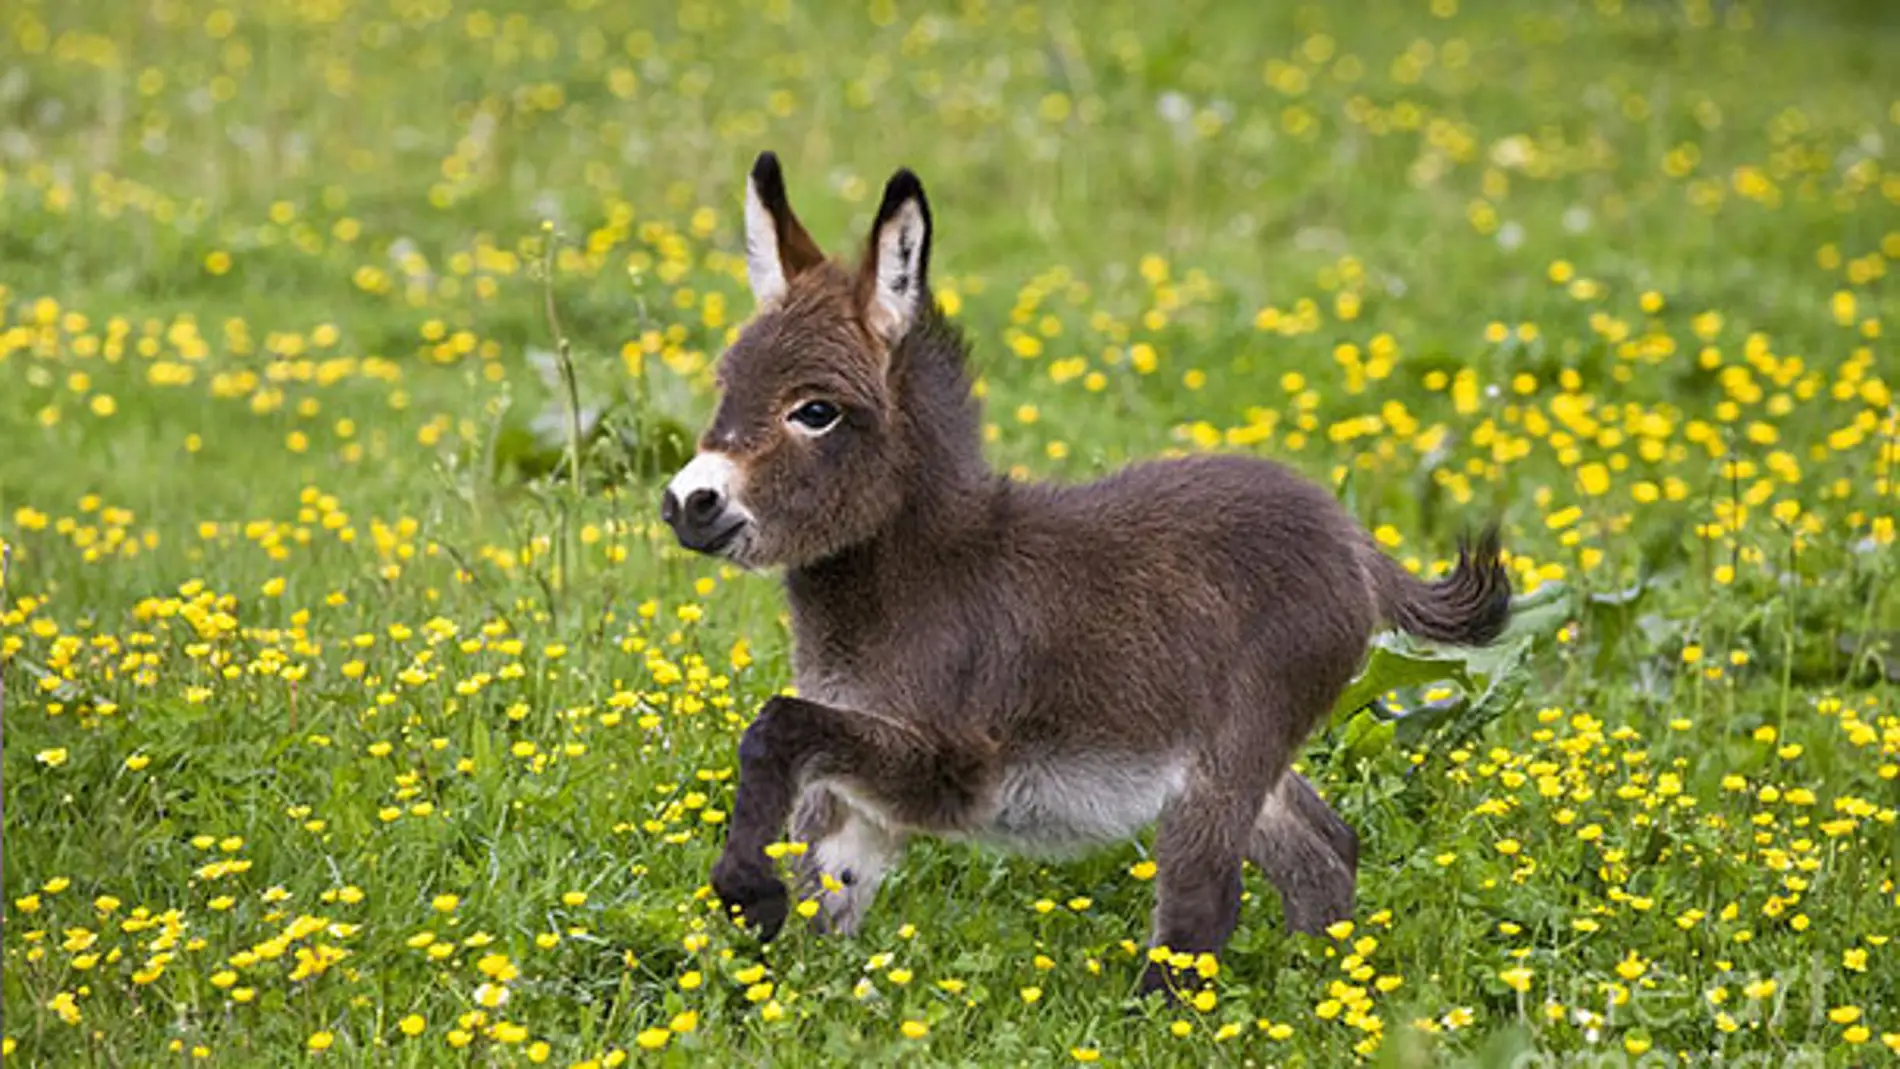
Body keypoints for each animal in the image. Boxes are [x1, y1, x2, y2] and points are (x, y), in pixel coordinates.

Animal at [661, 152, 1504, 1002]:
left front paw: (744, 892)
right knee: (1325, 849)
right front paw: (790, 984)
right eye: (726, 387)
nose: (686, 503)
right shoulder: (856, 785)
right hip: (1249, 761)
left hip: (1228, 754)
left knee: (1205, 902)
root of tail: (1353, 540)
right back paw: (1322, 991)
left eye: (816, 411)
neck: (917, 573)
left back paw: (1158, 1016)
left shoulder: (951, 770)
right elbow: (825, 885)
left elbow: (774, 725)